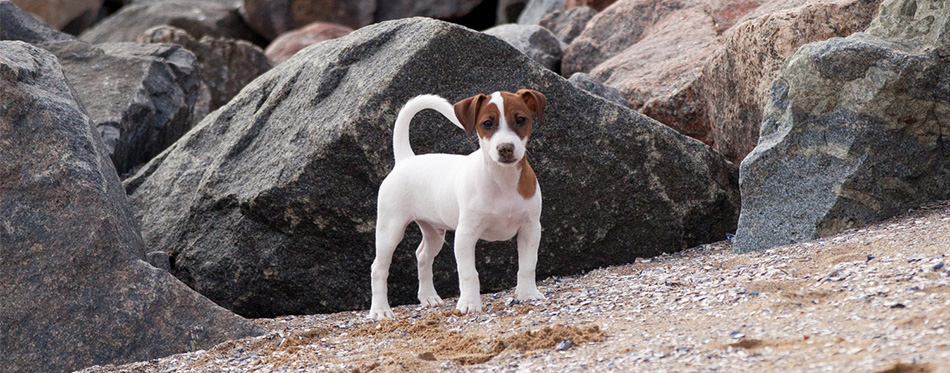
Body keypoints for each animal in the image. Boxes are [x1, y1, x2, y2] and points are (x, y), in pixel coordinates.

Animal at [372, 88, 552, 318]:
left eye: (521, 119)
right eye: (487, 123)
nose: (505, 148)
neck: (503, 180)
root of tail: (405, 159)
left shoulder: (530, 229)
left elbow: (528, 264)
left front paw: (528, 294)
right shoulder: (466, 235)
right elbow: (468, 273)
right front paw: (469, 303)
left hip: (433, 232)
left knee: (422, 256)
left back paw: (428, 297)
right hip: (390, 230)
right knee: (378, 268)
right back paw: (379, 310)